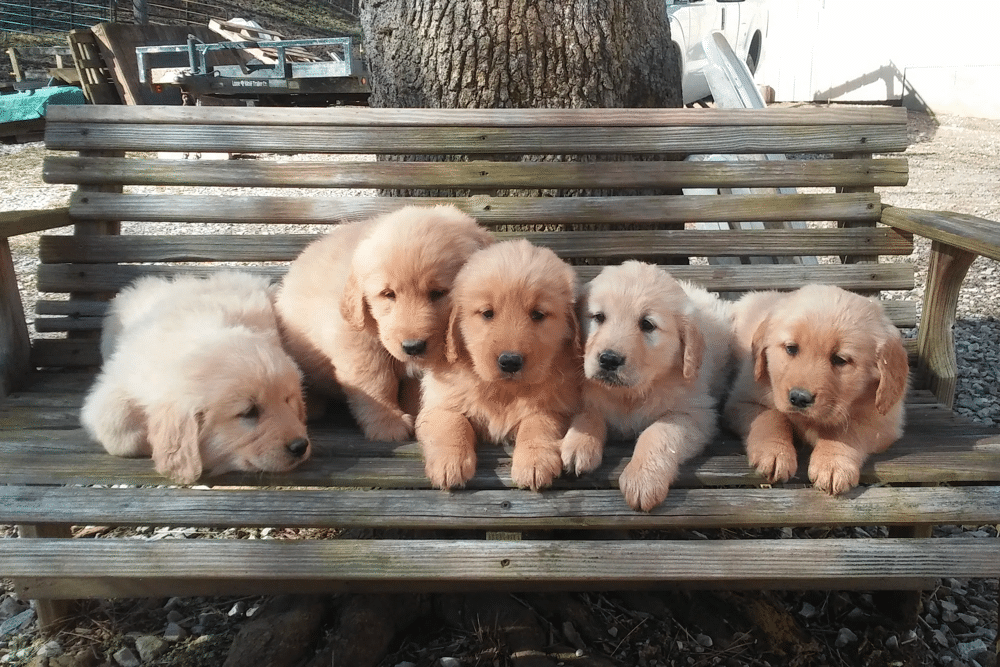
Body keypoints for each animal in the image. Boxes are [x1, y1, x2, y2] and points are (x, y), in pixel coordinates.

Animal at [276, 204, 494, 444]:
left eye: (438, 293)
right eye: (388, 294)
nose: (413, 347)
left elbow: (417, 389)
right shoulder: (358, 342)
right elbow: (375, 382)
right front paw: (388, 423)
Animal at [416, 240, 584, 490]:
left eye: (538, 314)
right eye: (487, 313)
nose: (510, 361)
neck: (505, 391)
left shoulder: (558, 406)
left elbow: (538, 423)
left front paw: (534, 462)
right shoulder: (438, 404)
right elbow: (452, 422)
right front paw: (449, 463)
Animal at [564, 260, 736, 512]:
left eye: (647, 324)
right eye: (598, 317)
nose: (608, 360)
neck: (629, 395)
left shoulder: (696, 414)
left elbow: (658, 432)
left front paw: (642, 480)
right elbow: (589, 413)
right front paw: (578, 444)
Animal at [724, 284, 912, 496]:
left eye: (840, 359)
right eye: (791, 348)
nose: (799, 398)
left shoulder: (883, 423)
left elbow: (845, 430)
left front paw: (832, 463)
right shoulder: (740, 401)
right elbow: (770, 416)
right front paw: (774, 453)